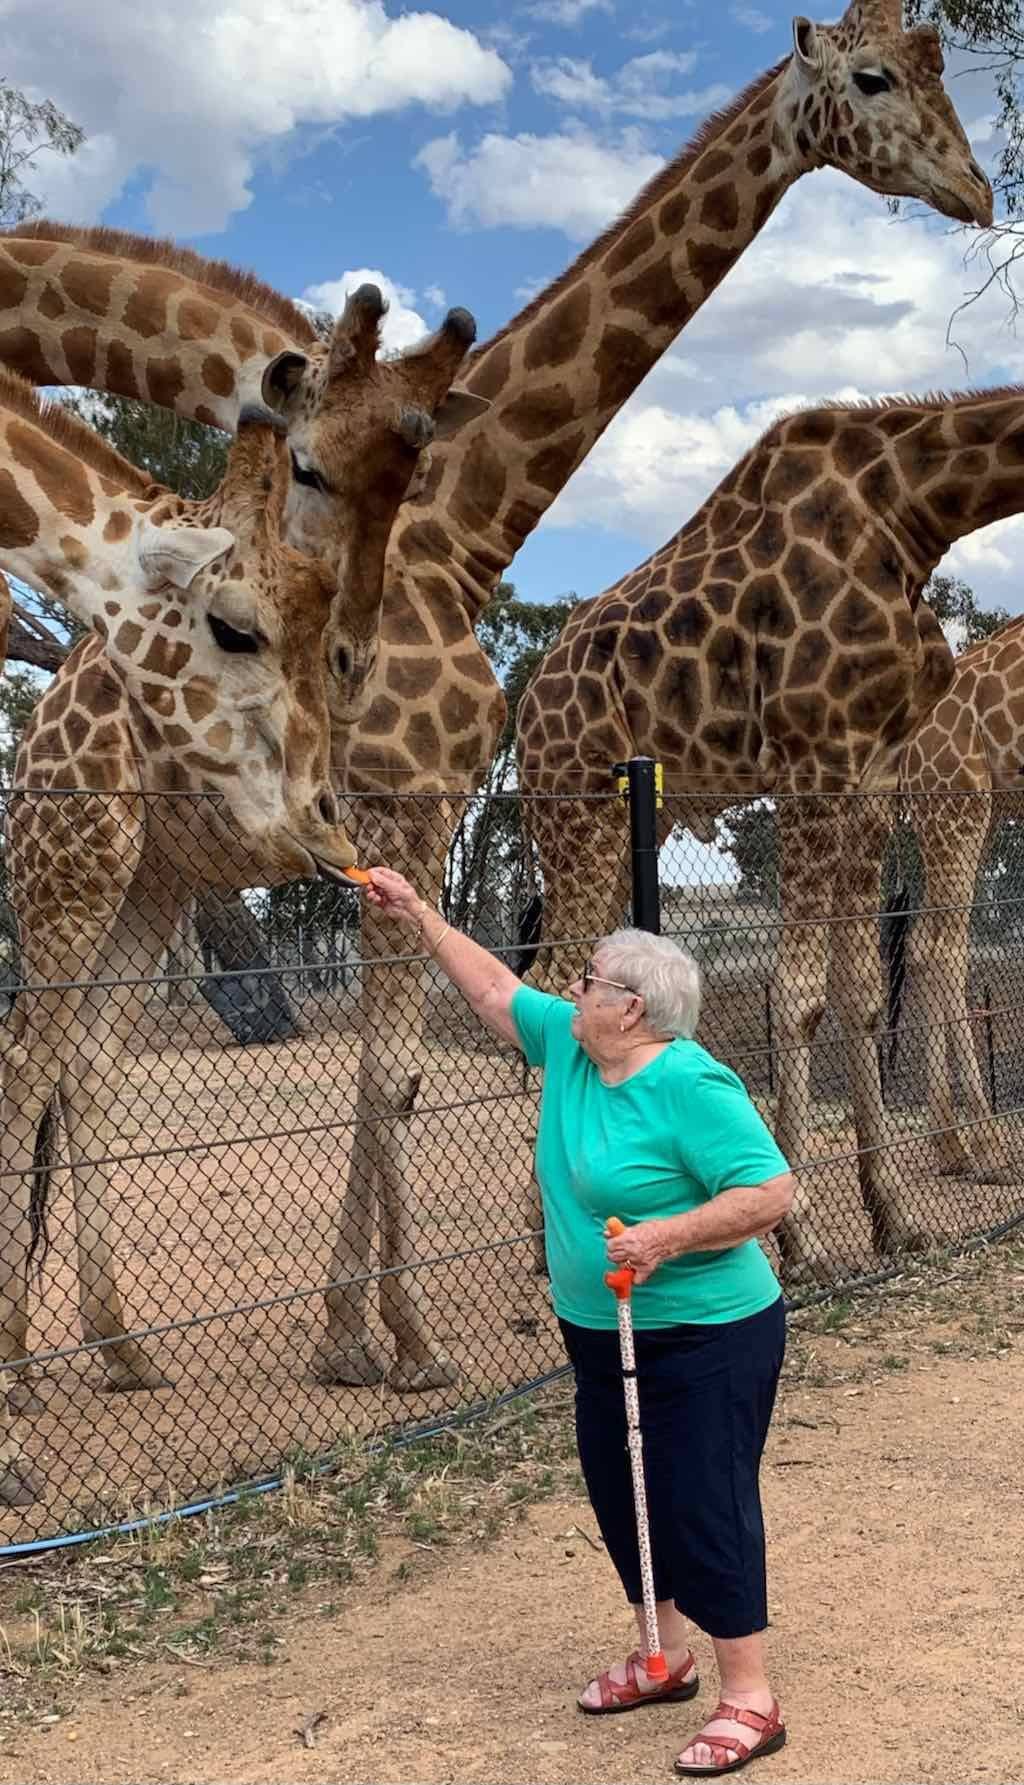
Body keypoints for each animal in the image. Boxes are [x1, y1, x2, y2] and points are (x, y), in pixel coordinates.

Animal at [0, 282, 485, 1506]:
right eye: (235, 625)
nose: (321, 808)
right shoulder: (417, 825)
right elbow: (393, 1072)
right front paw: (401, 1350)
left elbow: (393, 1072)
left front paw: (374, 1344)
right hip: (70, 865)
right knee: (26, 1060)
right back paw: (24, 1421)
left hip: (144, 886)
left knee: (82, 1061)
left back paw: (117, 1355)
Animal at [520, 389, 1024, 1278]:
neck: (912, 509)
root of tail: (519, 713)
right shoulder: (811, 759)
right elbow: (798, 994)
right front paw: (802, 1241)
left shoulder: (870, 774)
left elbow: (860, 996)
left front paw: (895, 1220)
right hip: (573, 808)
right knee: (548, 978)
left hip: (624, 823)